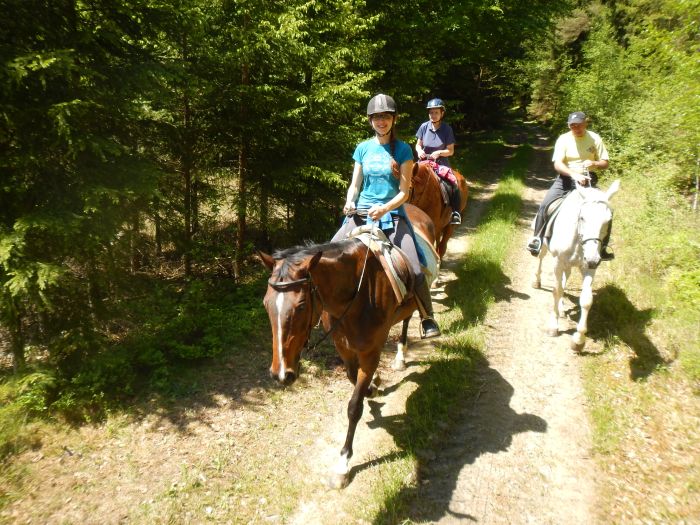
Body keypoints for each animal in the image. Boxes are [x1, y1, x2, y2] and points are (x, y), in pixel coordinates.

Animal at [260, 204, 438, 488]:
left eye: (301, 306)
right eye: (266, 303)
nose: (280, 374)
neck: (357, 292)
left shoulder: (371, 351)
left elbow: (354, 407)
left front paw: (343, 463)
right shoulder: (344, 348)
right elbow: (355, 381)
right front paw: (373, 387)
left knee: (409, 317)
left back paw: (403, 353)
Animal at [532, 178, 620, 350]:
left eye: (608, 220)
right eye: (582, 217)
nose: (593, 259)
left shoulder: (588, 268)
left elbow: (586, 300)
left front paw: (579, 340)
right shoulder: (558, 262)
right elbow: (556, 290)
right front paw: (553, 327)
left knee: (565, 278)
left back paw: (561, 309)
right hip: (544, 246)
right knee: (540, 258)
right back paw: (536, 282)